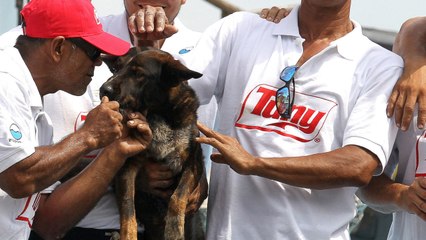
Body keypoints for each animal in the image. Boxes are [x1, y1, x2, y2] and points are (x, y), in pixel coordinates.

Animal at [98, 47, 208, 240]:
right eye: (116, 69)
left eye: (138, 73)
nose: (103, 89)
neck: (157, 114)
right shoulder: (126, 167)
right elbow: (128, 209)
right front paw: (127, 235)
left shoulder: (194, 163)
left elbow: (178, 196)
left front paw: (174, 230)